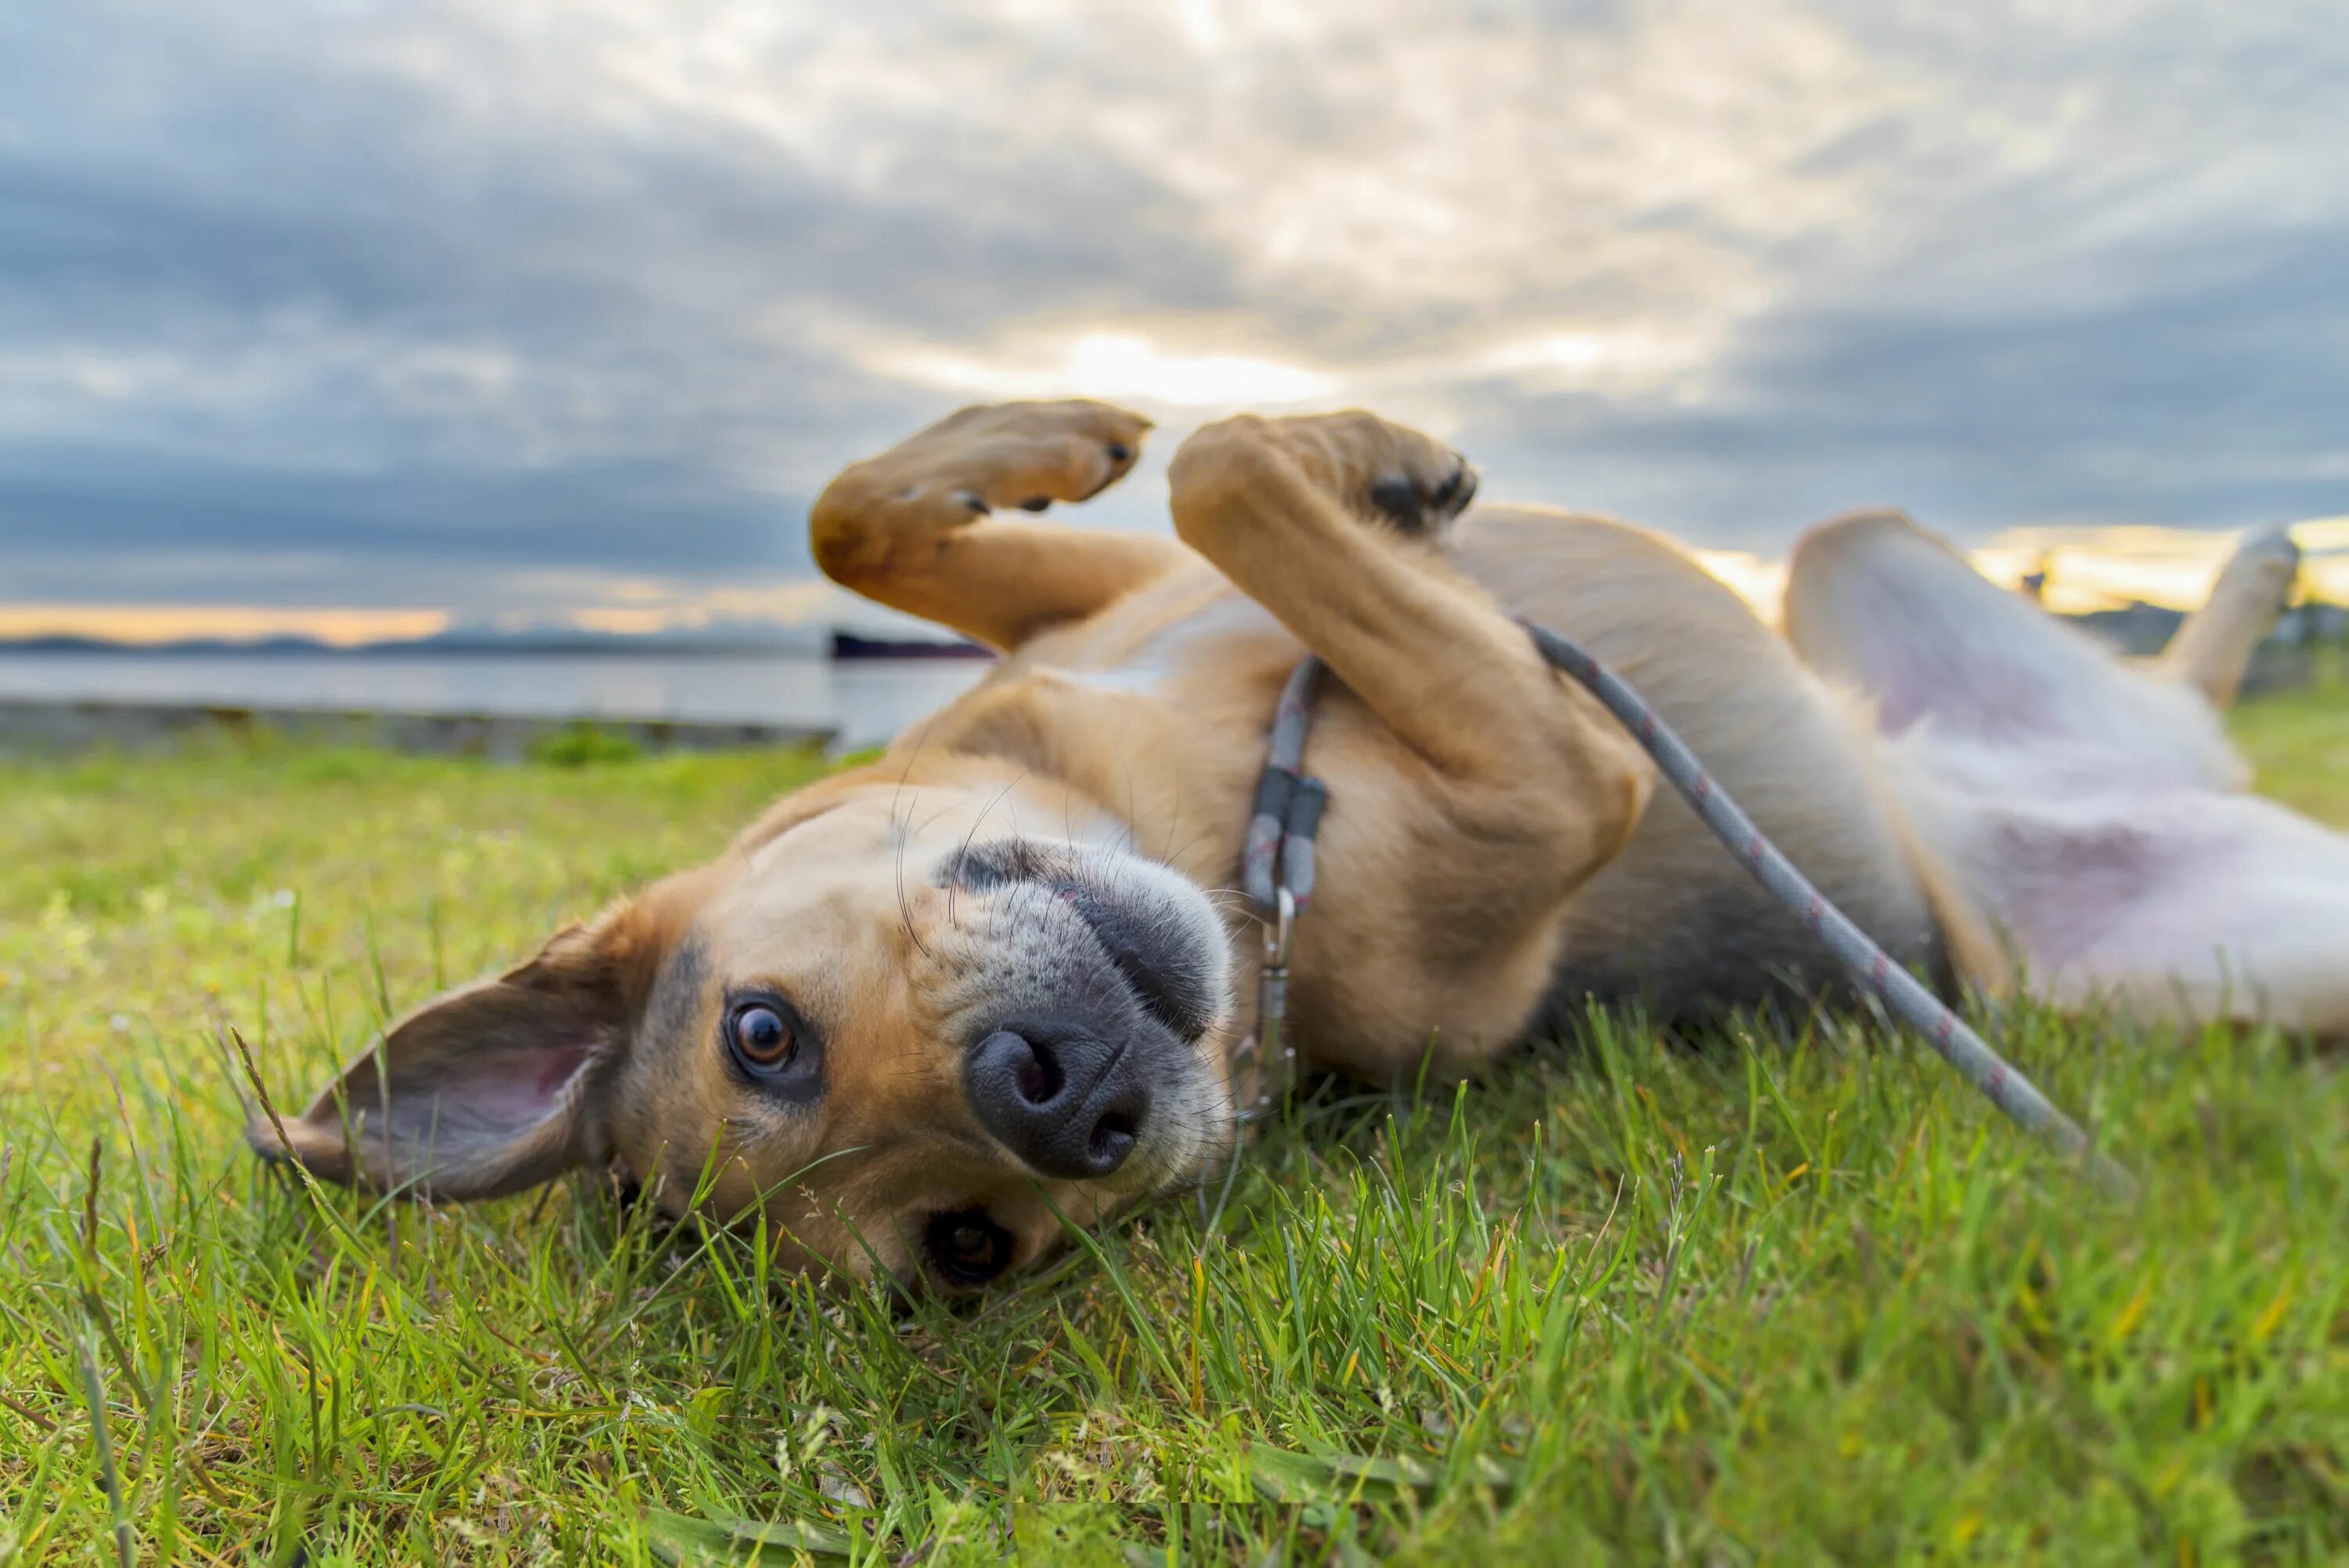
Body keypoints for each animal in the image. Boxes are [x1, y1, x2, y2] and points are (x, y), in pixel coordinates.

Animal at [247, 401, 2340, 1286]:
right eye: (968, 1250)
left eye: (762, 1031)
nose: (1054, 1095)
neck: (1202, 811)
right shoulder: (1561, 773)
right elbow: (1235, 477)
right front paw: (1346, 454)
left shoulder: (1107, 601)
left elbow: (901, 512)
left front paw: (1090, 426)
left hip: (1848, 555)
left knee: (2167, 672)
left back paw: (2252, 565)